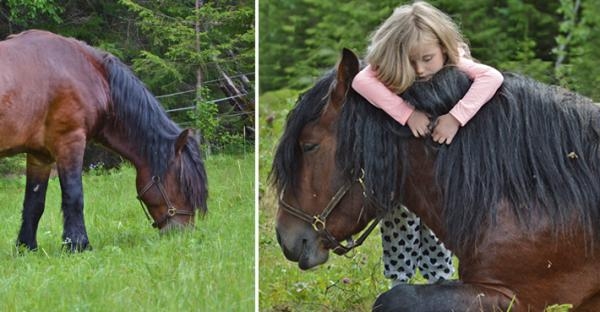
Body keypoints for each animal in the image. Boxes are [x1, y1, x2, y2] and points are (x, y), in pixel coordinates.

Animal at [0, 30, 207, 252]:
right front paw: (78, 244)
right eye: (184, 185)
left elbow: (34, 203)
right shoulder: (70, 141)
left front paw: (26, 247)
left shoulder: (40, 156)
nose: (182, 233)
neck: (86, 71)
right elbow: (74, 196)